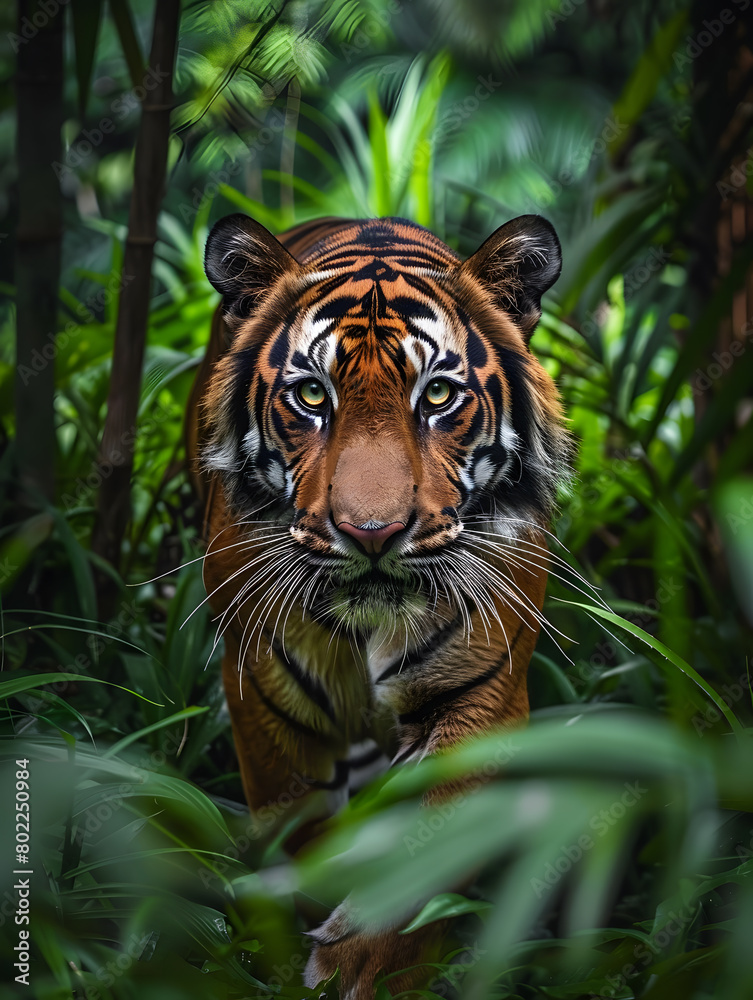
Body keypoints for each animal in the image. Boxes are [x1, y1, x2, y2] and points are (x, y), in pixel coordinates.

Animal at [186, 211, 570, 998]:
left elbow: (431, 842)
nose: (370, 531)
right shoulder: (264, 697)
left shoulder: (480, 694)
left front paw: (362, 967)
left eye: (437, 397)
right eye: (310, 397)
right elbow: (300, 832)